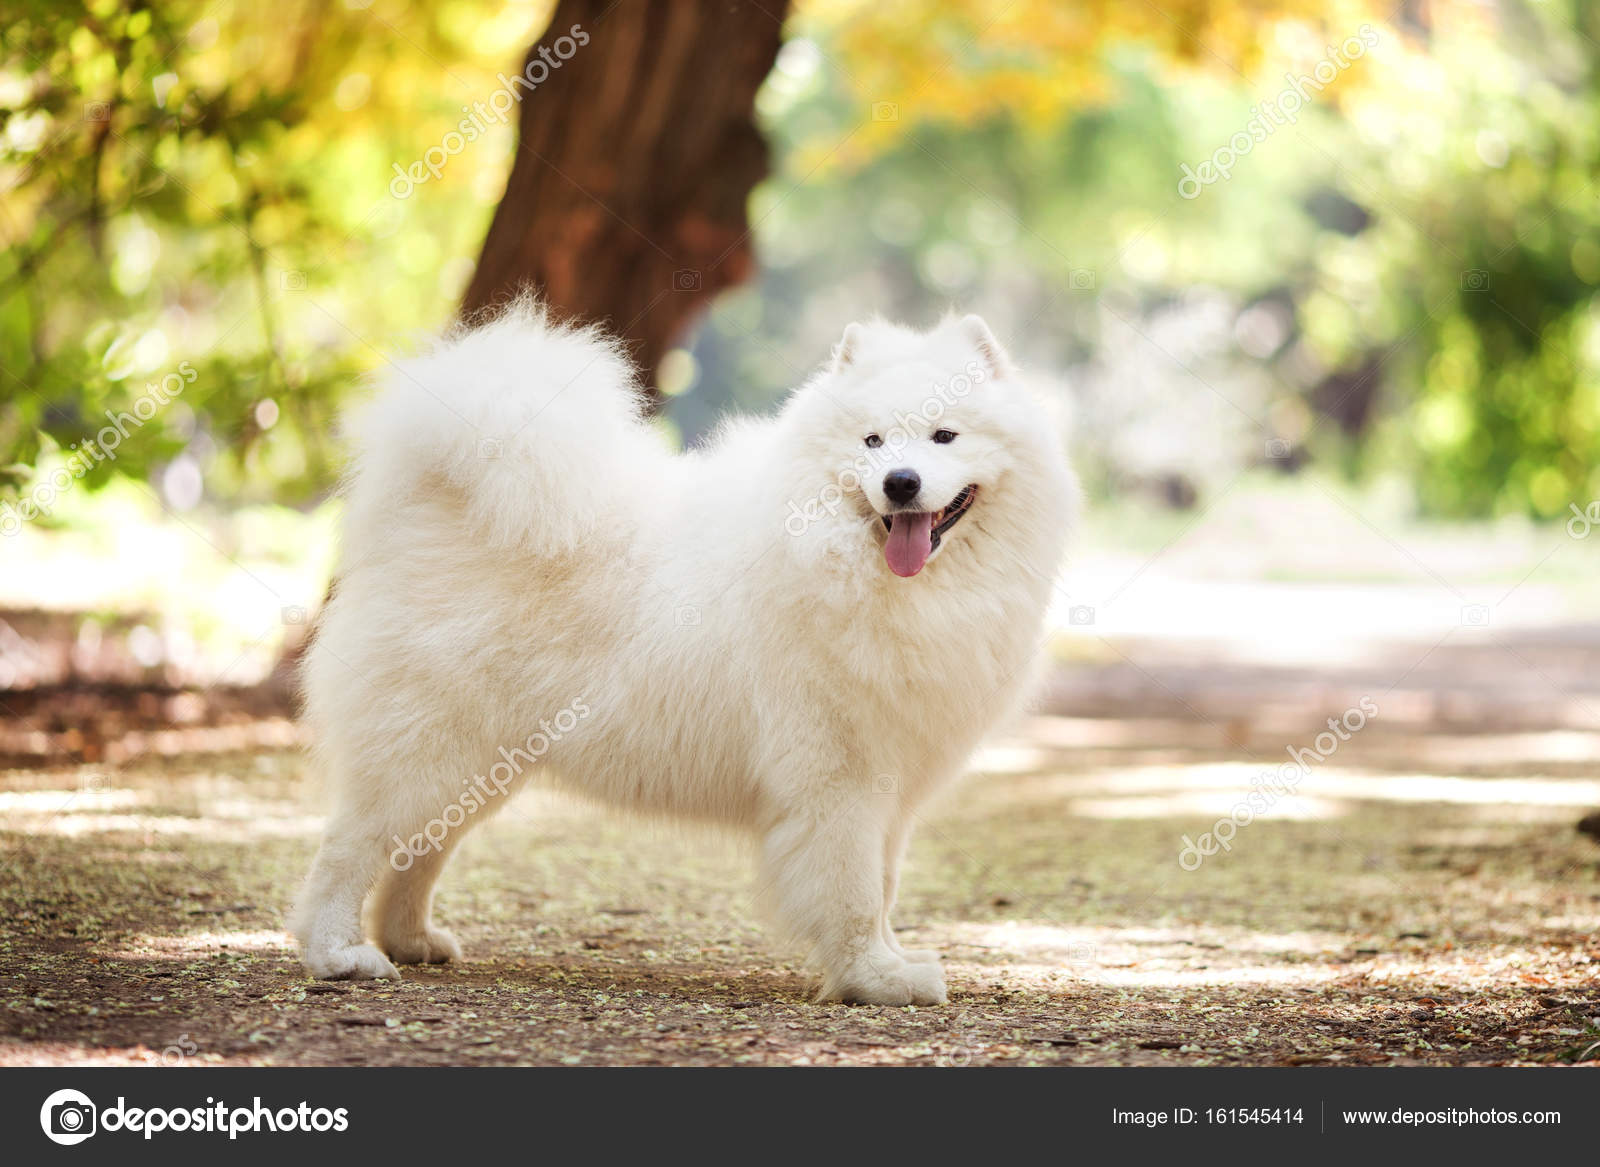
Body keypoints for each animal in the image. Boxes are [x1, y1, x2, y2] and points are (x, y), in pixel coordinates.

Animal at [297, 300, 1075, 998]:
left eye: (945, 435)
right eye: (873, 442)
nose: (901, 483)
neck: (860, 569)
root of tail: (436, 501)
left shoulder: (894, 782)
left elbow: (881, 889)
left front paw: (889, 963)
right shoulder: (839, 778)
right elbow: (853, 891)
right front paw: (874, 979)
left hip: (479, 764)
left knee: (419, 850)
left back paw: (412, 939)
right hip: (428, 747)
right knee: (350, 847)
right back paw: (339, 954)